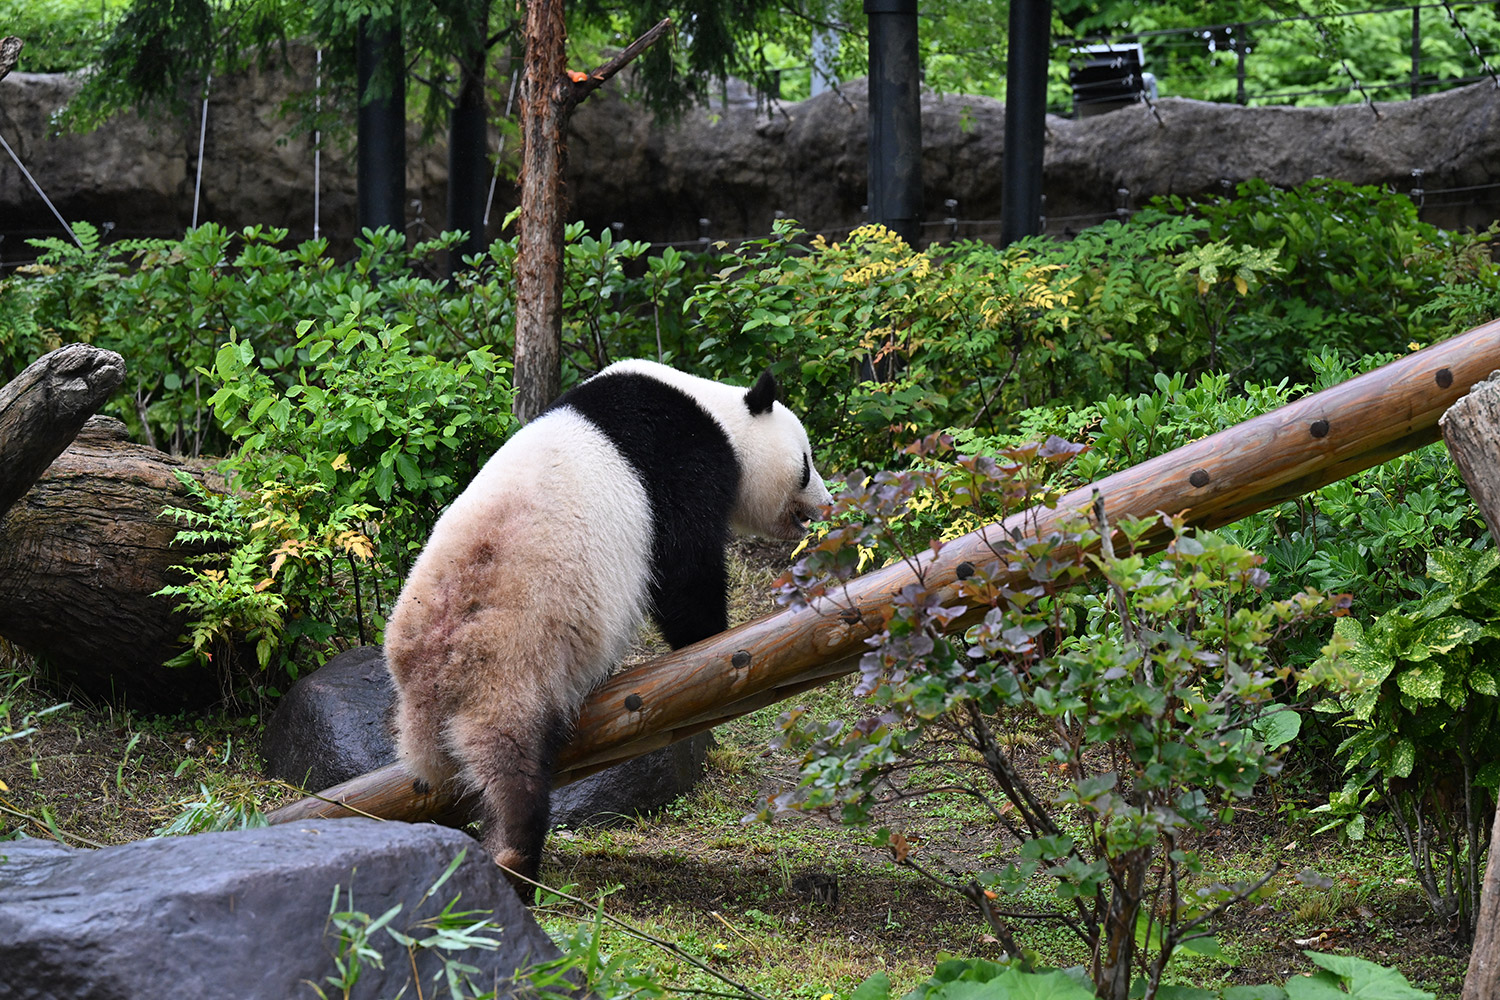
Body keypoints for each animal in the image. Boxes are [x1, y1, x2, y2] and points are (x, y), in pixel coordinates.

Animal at [383, 359, 833, 895]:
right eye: (806, 463)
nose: (826, 505)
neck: (717, 410)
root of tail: (431, 671)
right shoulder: (685, 459)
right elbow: (684, 566)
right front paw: (711, 637)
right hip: (509, 662)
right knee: (512, 764)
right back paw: (515, 857)